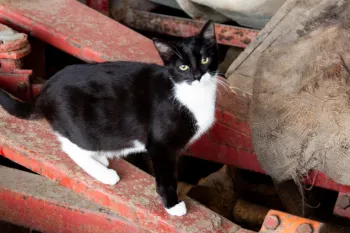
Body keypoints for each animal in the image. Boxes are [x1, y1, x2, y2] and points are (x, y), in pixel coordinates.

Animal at [0, 20, 219, 217]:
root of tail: (44, 91)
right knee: (70, 146)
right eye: (183, 67)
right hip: (87, 128)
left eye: (205, 60)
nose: (198, 75)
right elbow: (166, 176)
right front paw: (173, 205)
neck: (191, 95)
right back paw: (104, 174)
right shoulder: (162, 147)